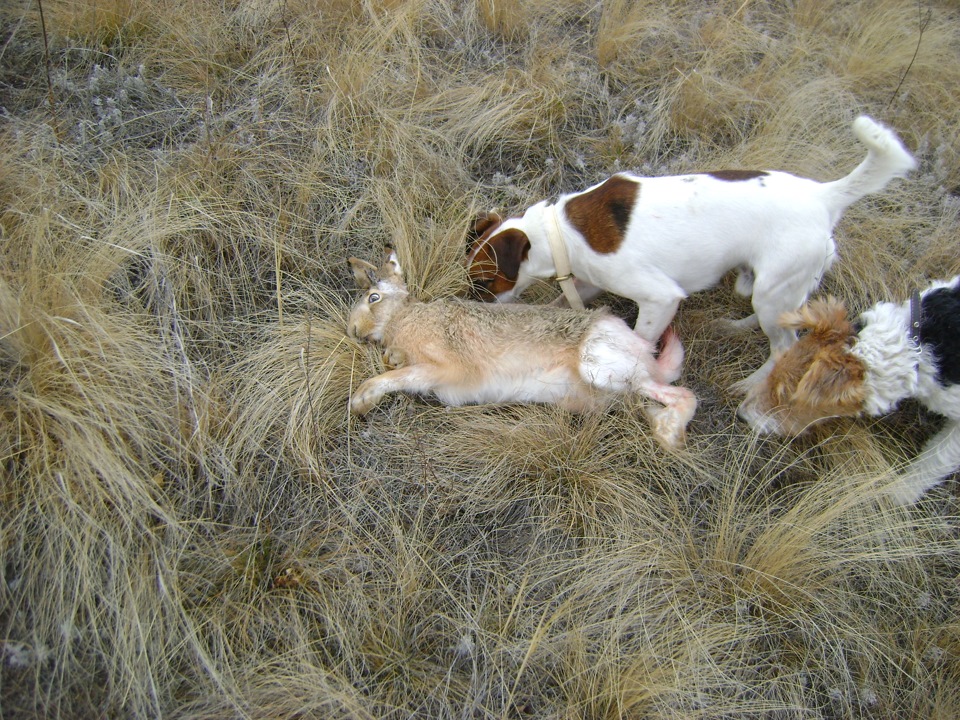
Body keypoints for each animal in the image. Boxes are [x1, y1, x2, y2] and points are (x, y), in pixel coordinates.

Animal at [464, 116, 916, 388]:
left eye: (484, 281)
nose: (468, 311)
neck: (558, 233)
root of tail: (824, 196)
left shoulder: (660, 298)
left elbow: (640, 340)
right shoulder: (590, 282)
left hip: (775, 289)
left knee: (785, 345)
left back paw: (752, 385)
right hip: (771, 290)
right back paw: (735, 327)